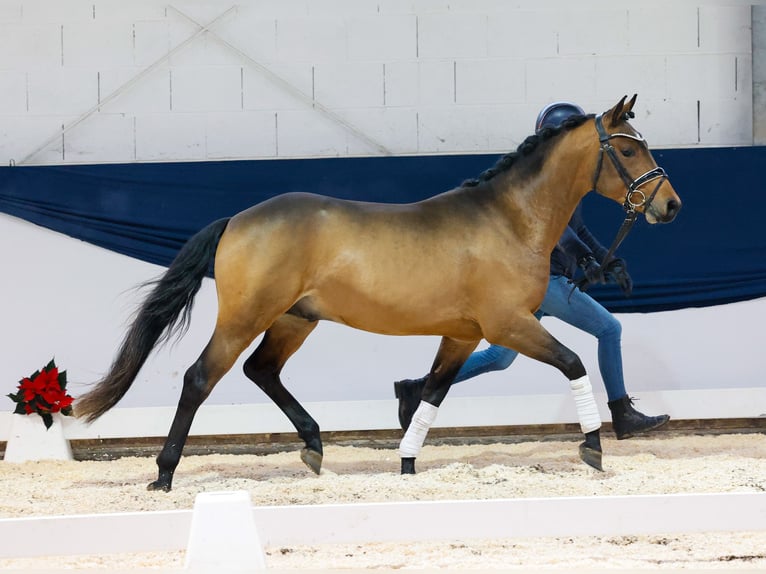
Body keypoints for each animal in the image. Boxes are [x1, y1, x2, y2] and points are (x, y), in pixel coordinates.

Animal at [73, 97, 684, 492]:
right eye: (629, 151)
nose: (670, 206)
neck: (510, 220)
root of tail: (238, 220)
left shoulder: (463, 336)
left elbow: (433, 393)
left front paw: (408, 464)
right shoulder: (509, 324)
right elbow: (575, 362)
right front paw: (594, 447)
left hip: (295, 319)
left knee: (261, 371)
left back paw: (313, 446)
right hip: (246, 317)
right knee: (201, 378)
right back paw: (164, 474)